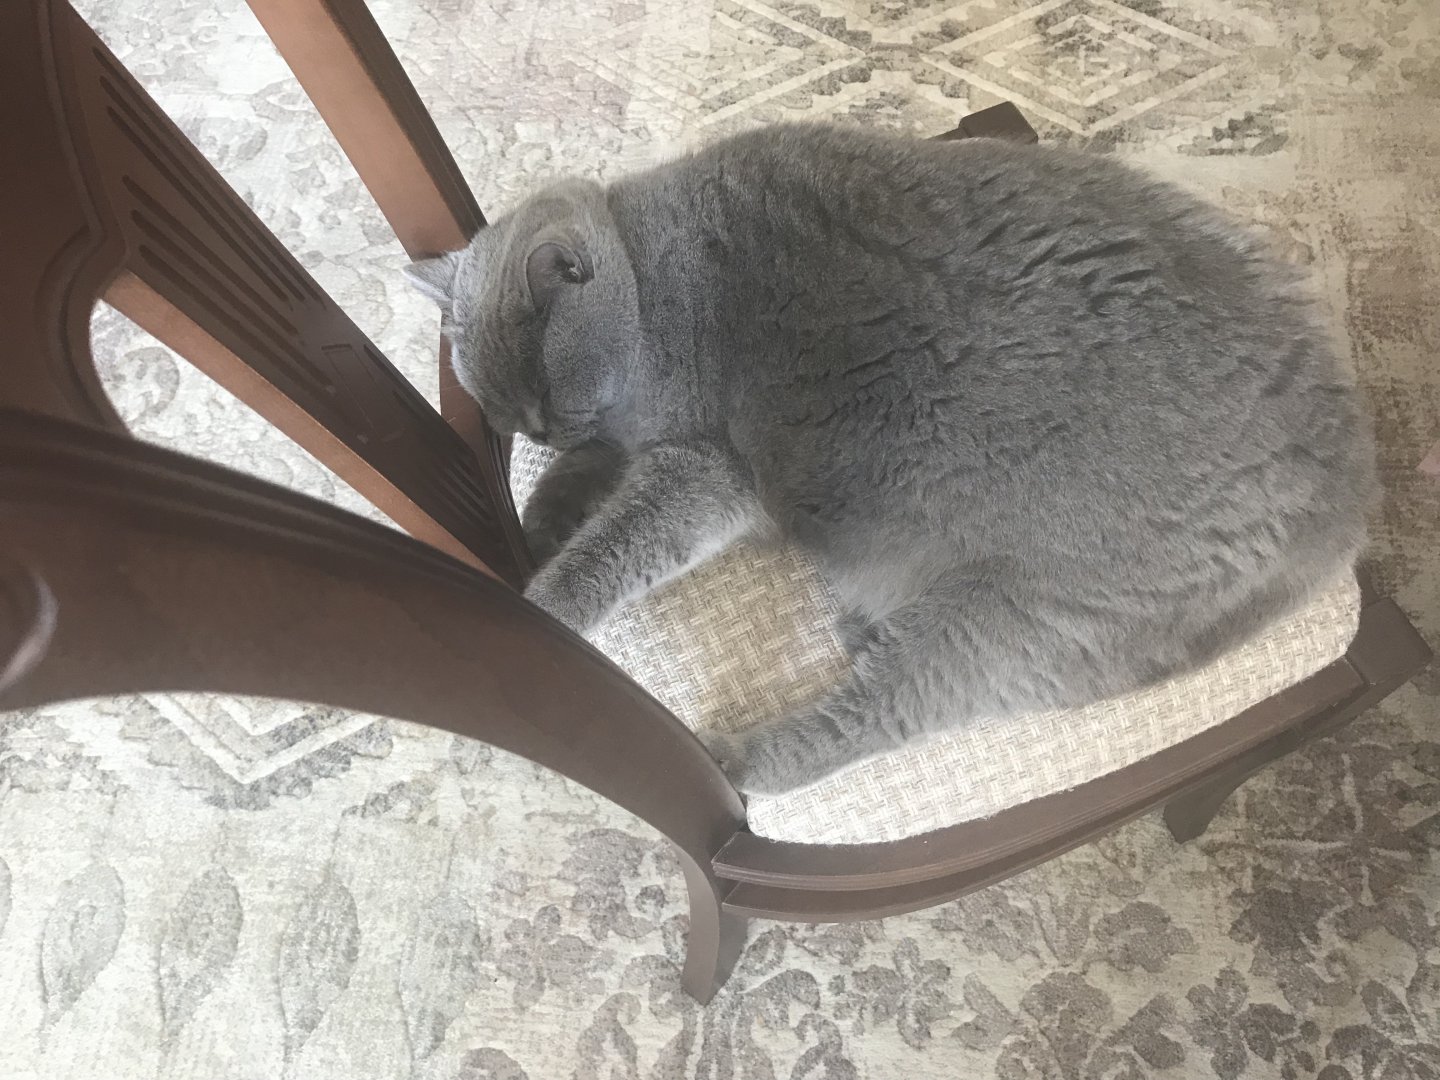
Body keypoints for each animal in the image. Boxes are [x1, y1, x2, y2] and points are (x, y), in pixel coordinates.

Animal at [405, 122, 1373, 798]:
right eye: (499, 405)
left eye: (540, 384)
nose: (535, 431)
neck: (647, 278)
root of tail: (1350, 494)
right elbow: (587, 486)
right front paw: (537, 520)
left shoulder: (710, 465)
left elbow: (620, 545)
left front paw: (543, 602)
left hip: (1026, 607)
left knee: (886, 713)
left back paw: (745, 757)